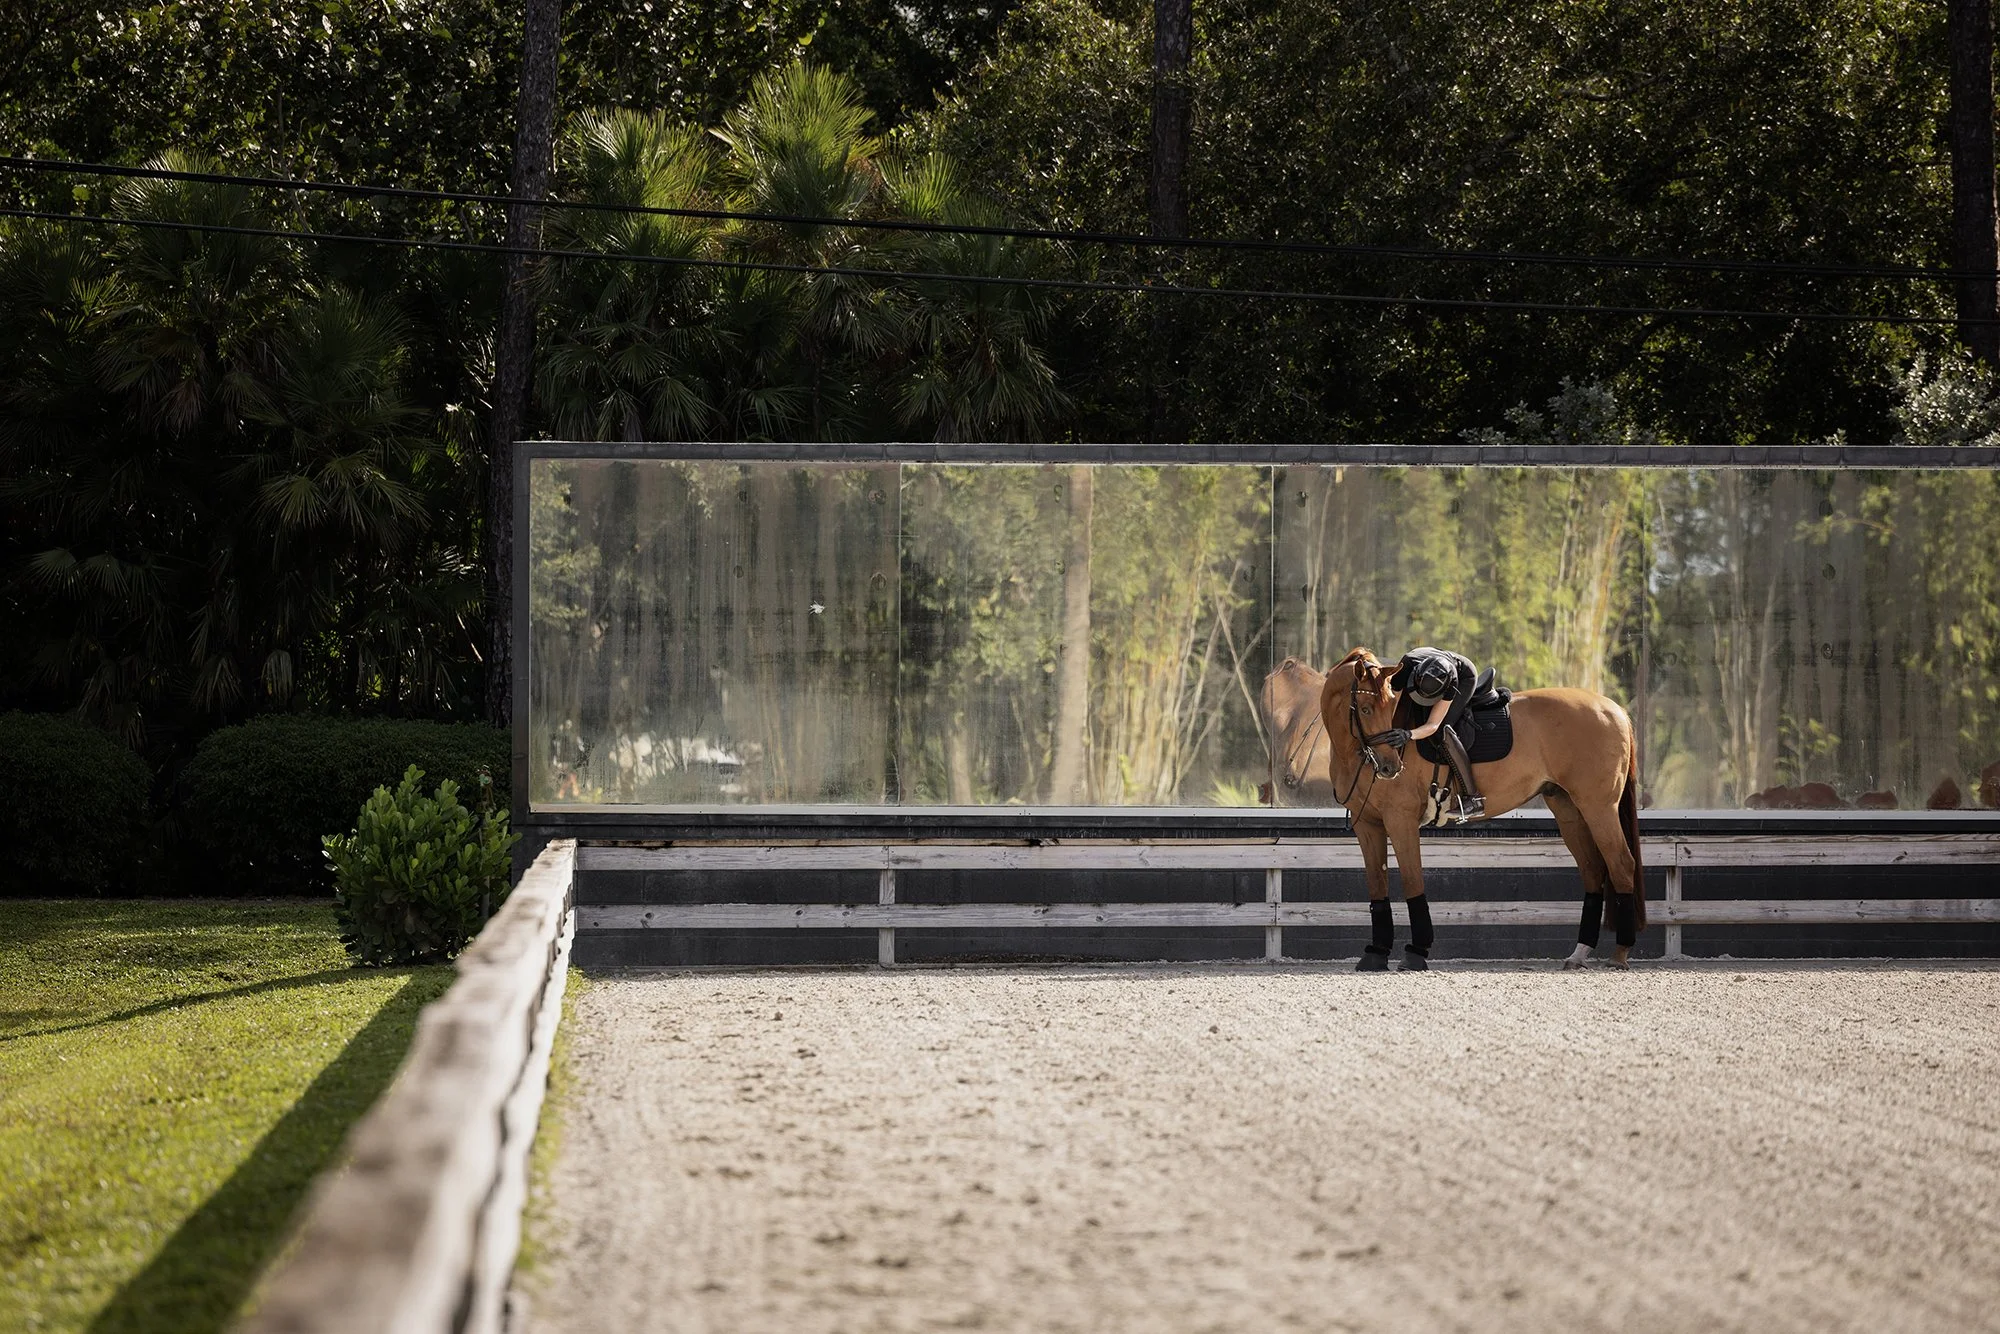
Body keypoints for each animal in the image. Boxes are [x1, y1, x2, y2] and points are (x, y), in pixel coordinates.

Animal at [1317, 648, 1646, 971]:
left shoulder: (1401, 820)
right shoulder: (1367, 824)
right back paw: (1579, 954)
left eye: (1388, 710)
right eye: (1366, 709)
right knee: (1593, 869)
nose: (1390, 767)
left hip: (1598, 807)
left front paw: (1416, 953)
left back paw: (1620, 954)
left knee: (1621, 864)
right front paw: (1375, 954)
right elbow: (1377, 884)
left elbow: (1412, 881)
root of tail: (1615, 709)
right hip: (1569, 810)